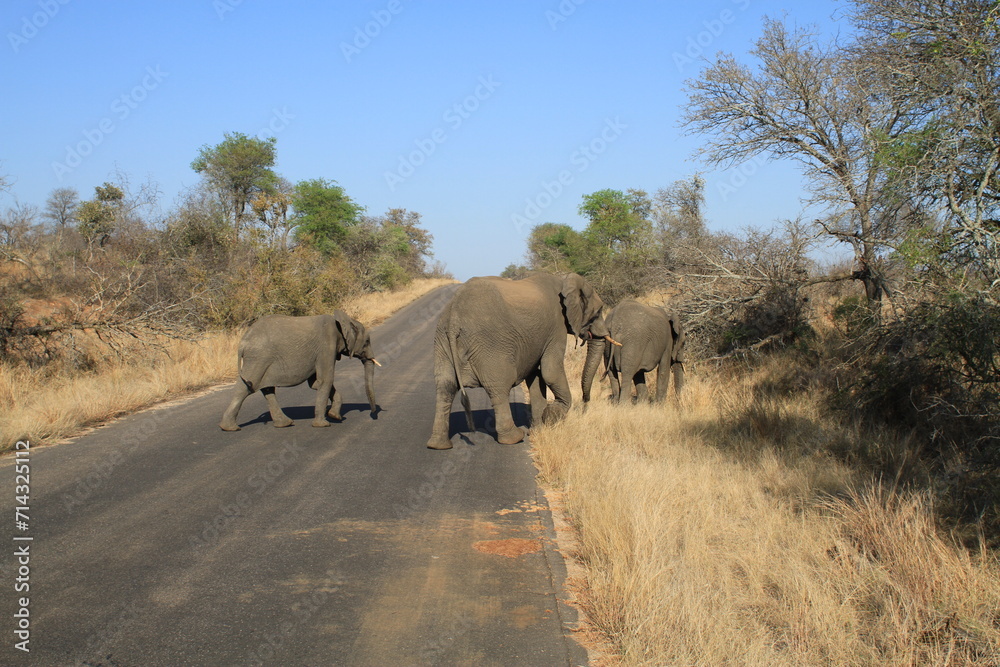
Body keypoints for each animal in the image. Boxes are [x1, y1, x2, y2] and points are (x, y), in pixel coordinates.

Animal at [219, 310, 378, 430]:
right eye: (367, 342)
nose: (373, 413)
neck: (343, 321)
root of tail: (242, 342)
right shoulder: (327, 345)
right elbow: (325, 380)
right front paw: (323, 424)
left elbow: (315, 383)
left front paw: (335, 416)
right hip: (258, 359)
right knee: (245, 388)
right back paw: (230, 428)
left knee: (267, 389)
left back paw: (284, 424)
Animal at [424, 274, 612, 452]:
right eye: (597, 313)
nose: (585, 403)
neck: (563, 280)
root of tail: (454, 317)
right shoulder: (556, 327)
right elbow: (550, 371)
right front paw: (551, 416)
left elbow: (536, 376)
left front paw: (539, 430)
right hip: (491, 344)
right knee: (499, 388)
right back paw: (514, 437)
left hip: (441, 340)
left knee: (445, 387)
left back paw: (438, 445)